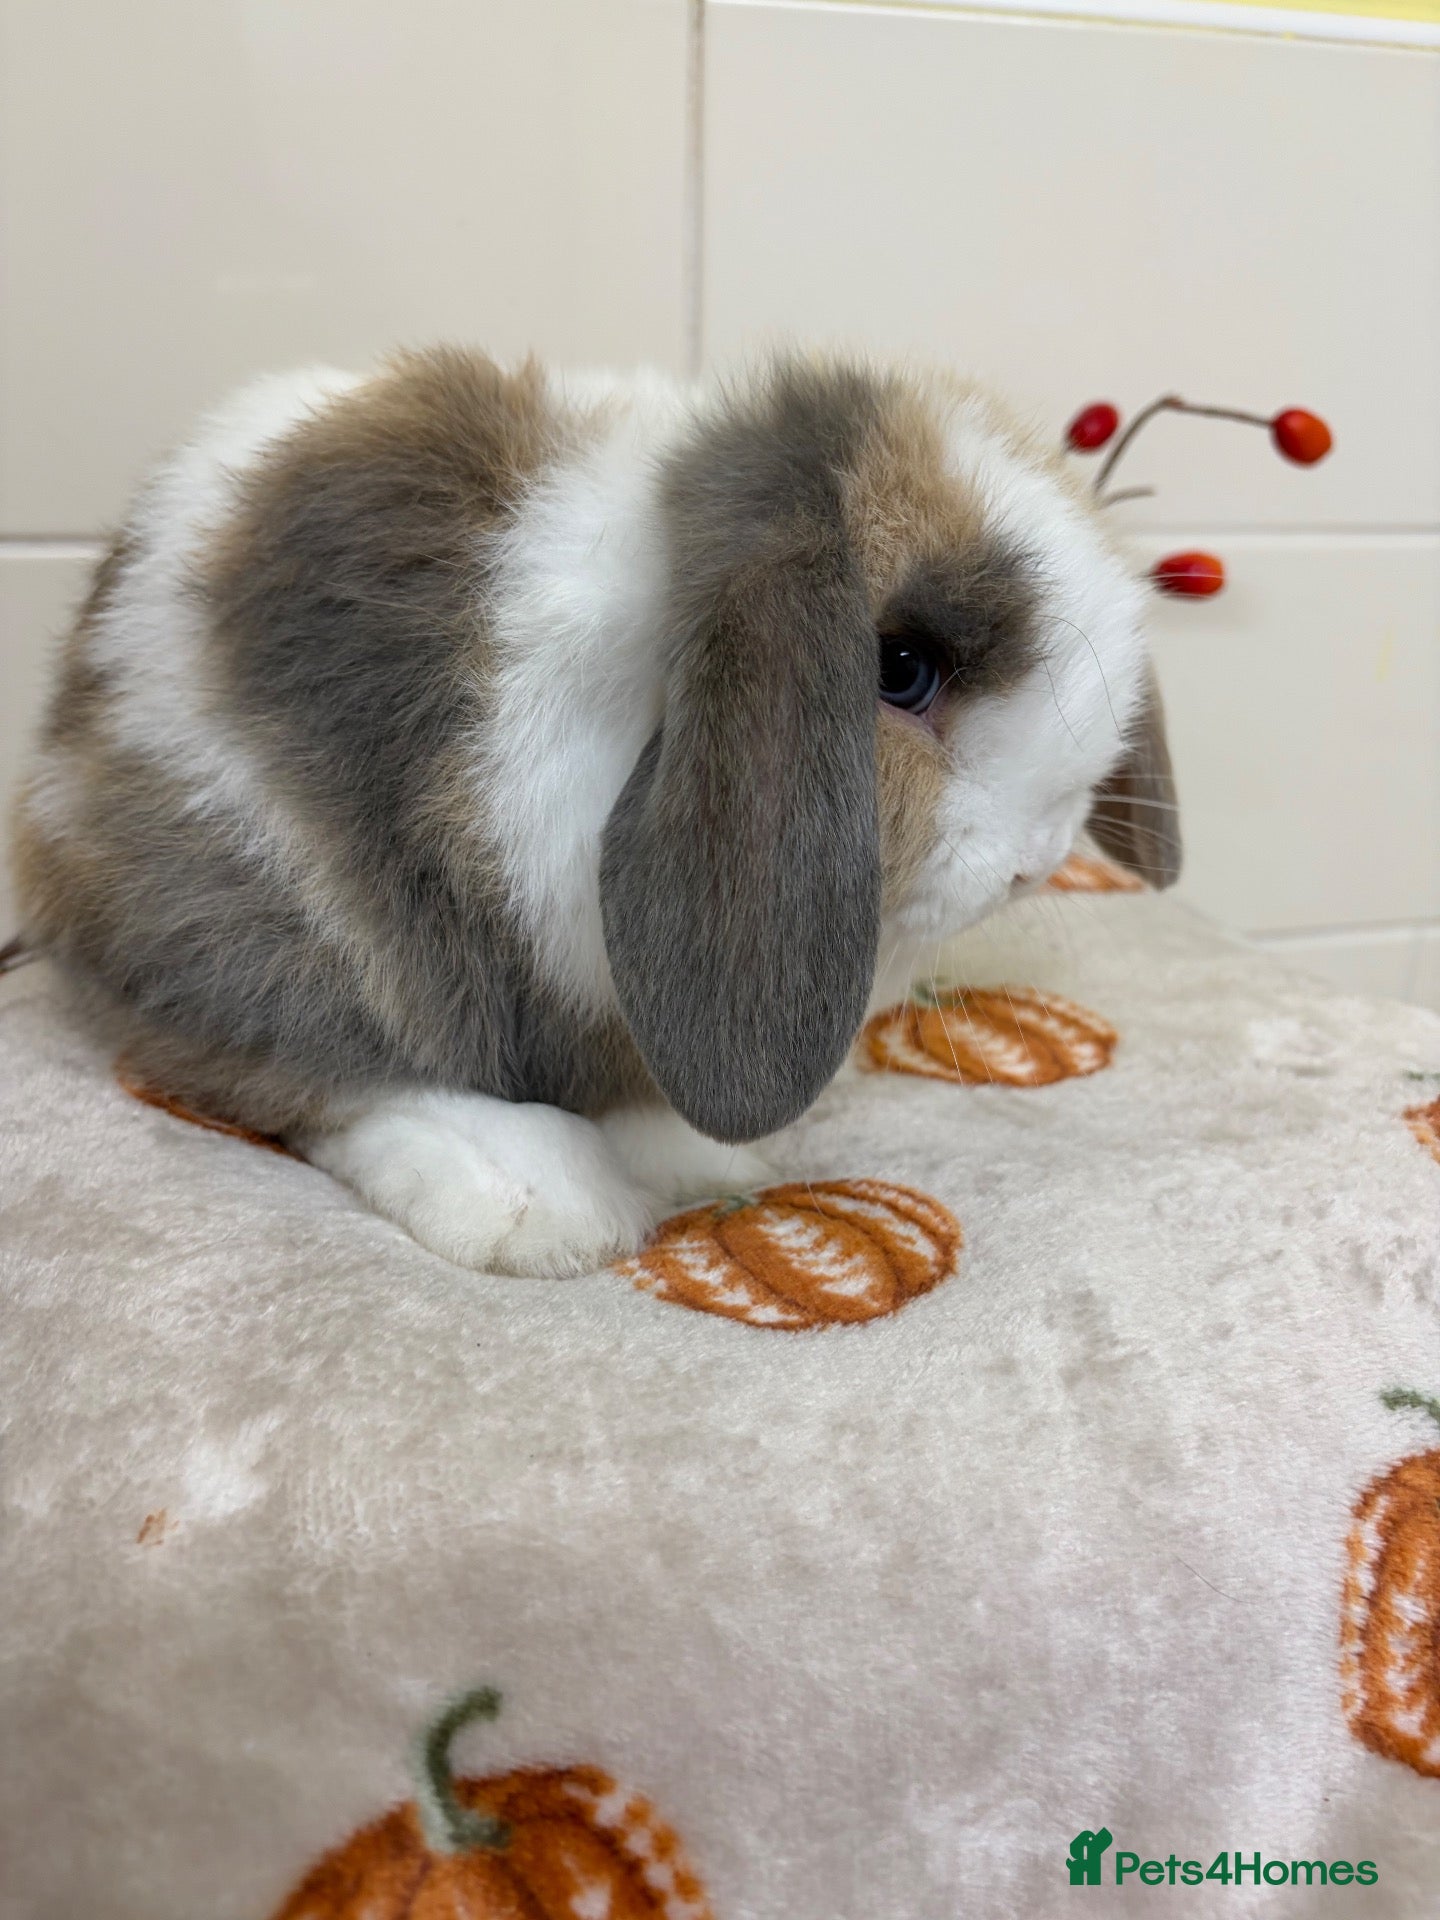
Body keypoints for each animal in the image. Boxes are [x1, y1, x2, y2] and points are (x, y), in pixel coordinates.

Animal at [10, 348, 1179, 1276]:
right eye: (900, 668)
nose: (1041, 857)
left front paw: (703, 1155)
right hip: (252, 891)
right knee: (308, 1058)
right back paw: (532, 1202)